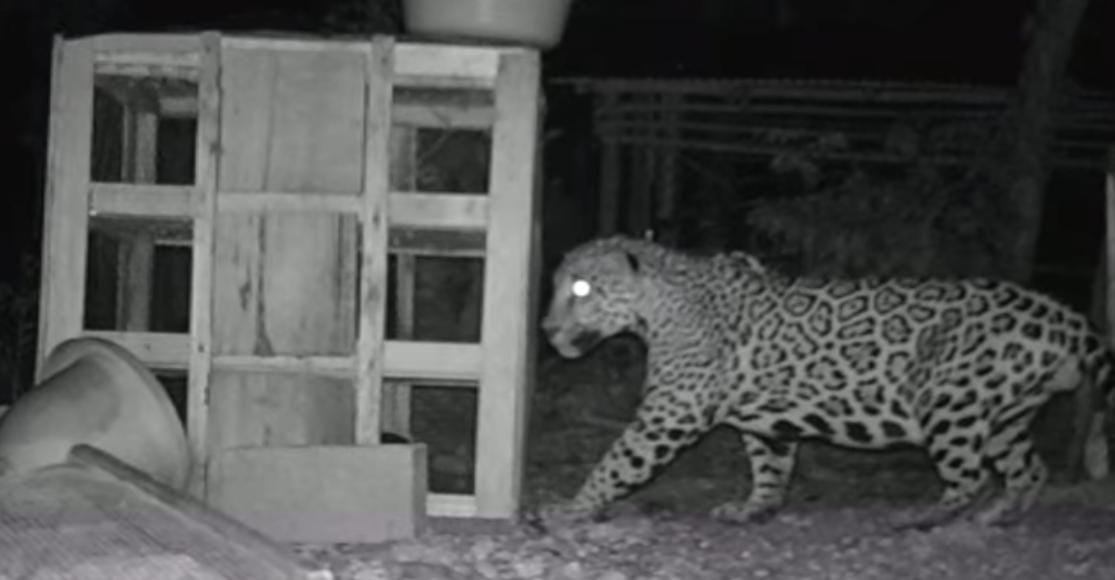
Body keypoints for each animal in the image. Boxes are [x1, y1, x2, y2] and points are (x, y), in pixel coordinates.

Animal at [537, 235, 1113, 530]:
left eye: (582, 289)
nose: (545, 329)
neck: (658, 309)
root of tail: (1064, 315)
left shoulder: (669, 413)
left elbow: (618, 460)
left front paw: (575, 506)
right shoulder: (765, 422)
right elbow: (770, 467)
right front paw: (754, 508)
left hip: (950, 405)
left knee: (969, 477)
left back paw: (924, 517)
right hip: (1005, 416)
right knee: (1028, 470)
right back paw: (1000, 516)